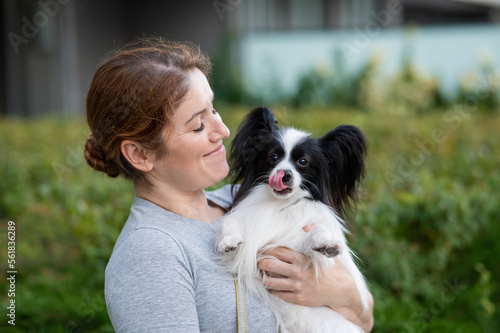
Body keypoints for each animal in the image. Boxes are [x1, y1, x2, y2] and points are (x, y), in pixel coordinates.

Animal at [216, 107, 372, 332]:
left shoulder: (297, 248)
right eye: (273, 157)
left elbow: (317, 232)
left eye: (303, 162)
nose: (285, 174)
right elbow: (229, 221)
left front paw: (326, 243)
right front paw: (228, 240)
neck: (279, 204)